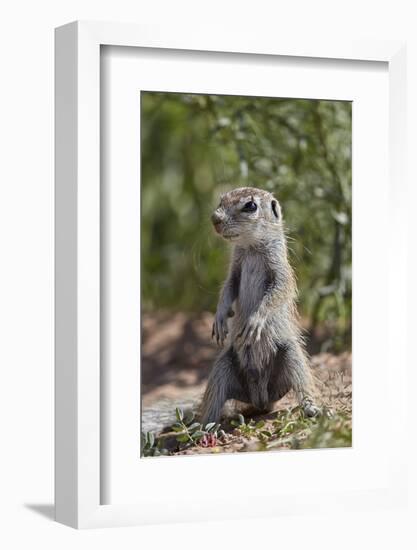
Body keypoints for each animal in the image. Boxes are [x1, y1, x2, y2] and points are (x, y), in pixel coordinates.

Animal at [199, 188, 318, 424]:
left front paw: (254, 321)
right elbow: (228, 288)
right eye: (221, 199)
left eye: (250, 206)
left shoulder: (280, 270)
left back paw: (313, 408)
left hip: (290, 353)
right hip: (223, 364)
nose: (215, 219)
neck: (251, 248)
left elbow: (277, 292)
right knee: (214, 398)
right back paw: (203, 426)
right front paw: (220, 317)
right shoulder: (235, 270)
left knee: (302, 381)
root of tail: (261, 398)